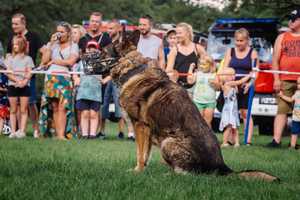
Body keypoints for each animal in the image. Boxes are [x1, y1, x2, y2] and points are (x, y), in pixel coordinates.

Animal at [106, 30, 278, 181]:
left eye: (104, 49)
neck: (133, 69)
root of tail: (222, 167)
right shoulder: (145, 131)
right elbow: (145, 154)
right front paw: (142, 170)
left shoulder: (140, 126)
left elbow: (140, 154)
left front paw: (138, 171)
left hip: (167, 142)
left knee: (188, 174)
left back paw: (167, 175)